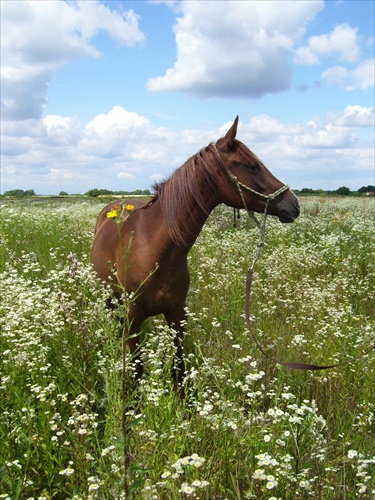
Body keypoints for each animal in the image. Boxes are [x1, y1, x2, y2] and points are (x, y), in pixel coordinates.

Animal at [90, 117, 300, 394]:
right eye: (252, 166)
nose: (294, 205)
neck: (157, 249)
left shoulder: (177, 315)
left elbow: (178, 370)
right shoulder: (133, 319)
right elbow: (137, 371)